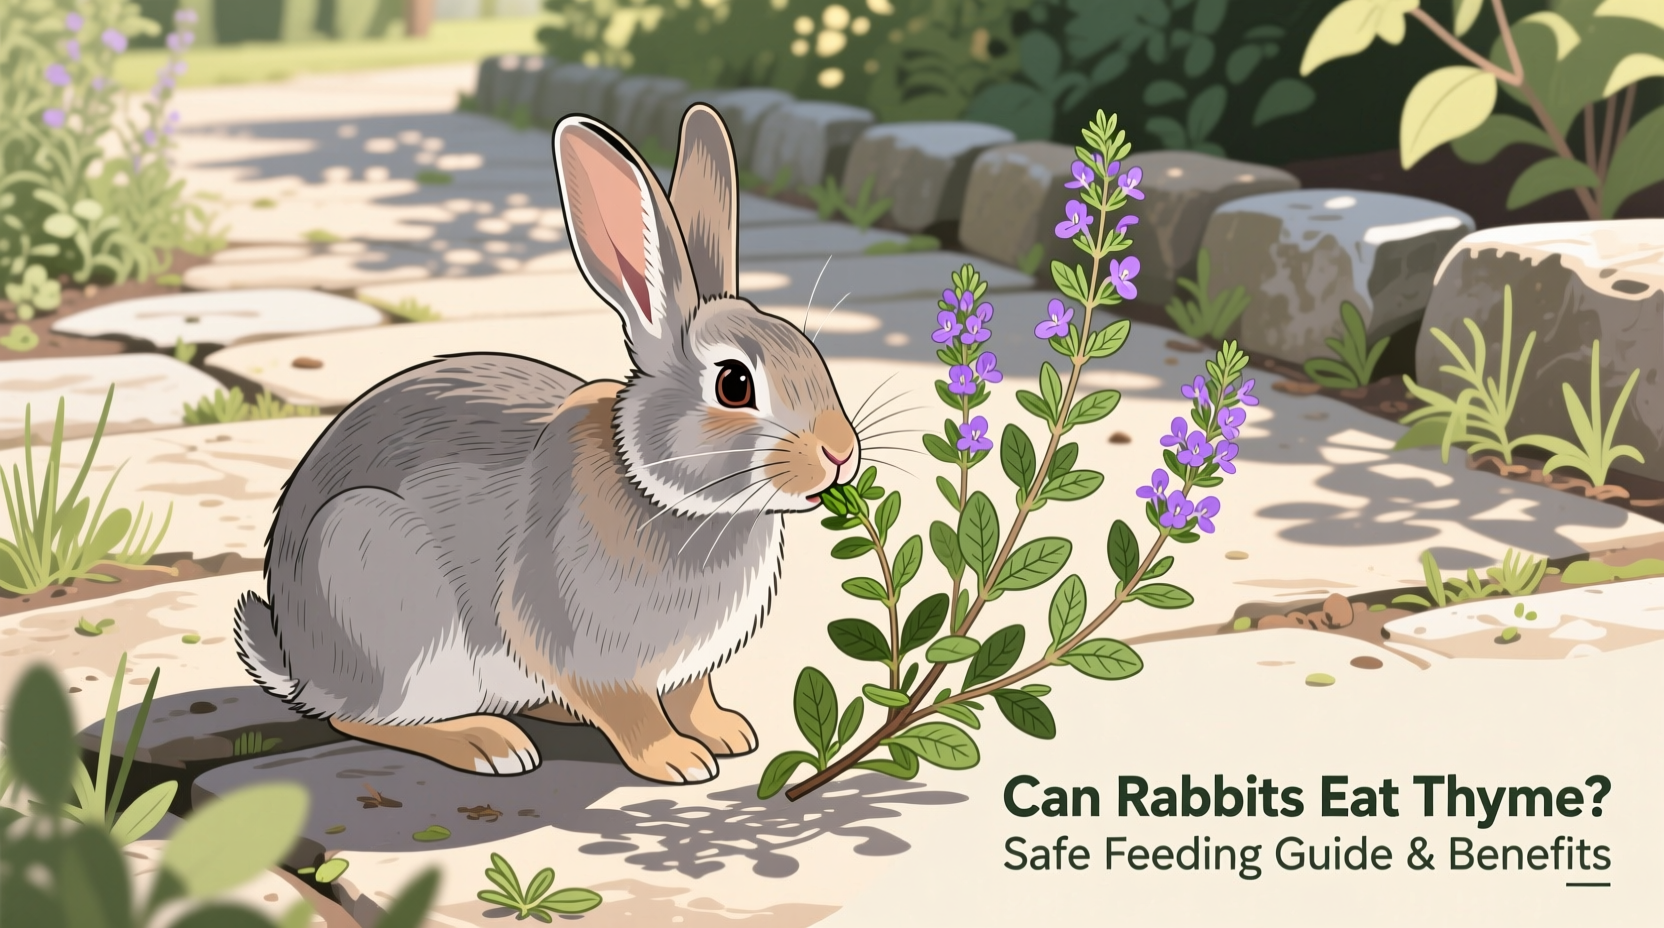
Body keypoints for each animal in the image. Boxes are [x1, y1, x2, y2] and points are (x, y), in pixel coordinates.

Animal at [232, 103, 861, 784]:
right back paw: (488, 743)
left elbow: (694, 695)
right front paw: (678, 761)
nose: (840, 454)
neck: (656, 488)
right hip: (383, 592)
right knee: (363, 719)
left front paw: (728, 733)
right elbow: (630, 711)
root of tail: (300, 664)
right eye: (734, 384)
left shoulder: (689, 665)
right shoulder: (582, 644)